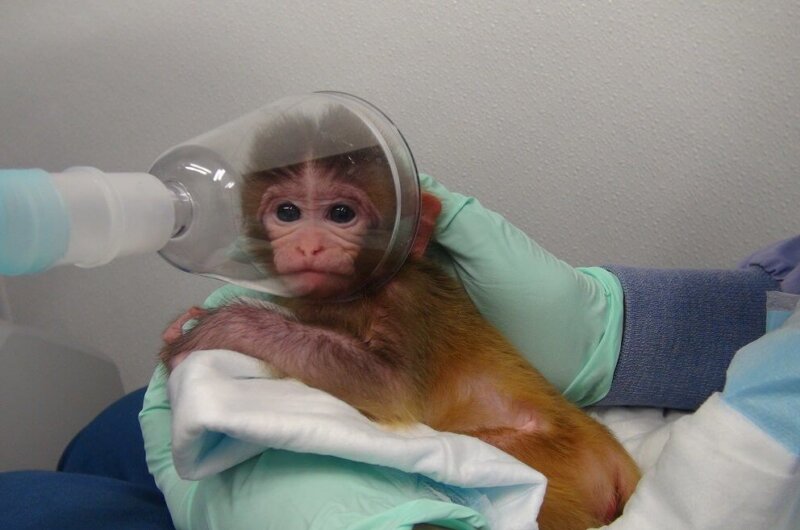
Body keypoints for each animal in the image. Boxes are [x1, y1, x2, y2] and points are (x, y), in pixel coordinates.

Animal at [160, 108, 640, 530]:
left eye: (341, 214)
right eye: (288, 213)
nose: (309, 246)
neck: (353, 299)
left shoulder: (407, 299)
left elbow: (390, 388)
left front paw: (223, 327)